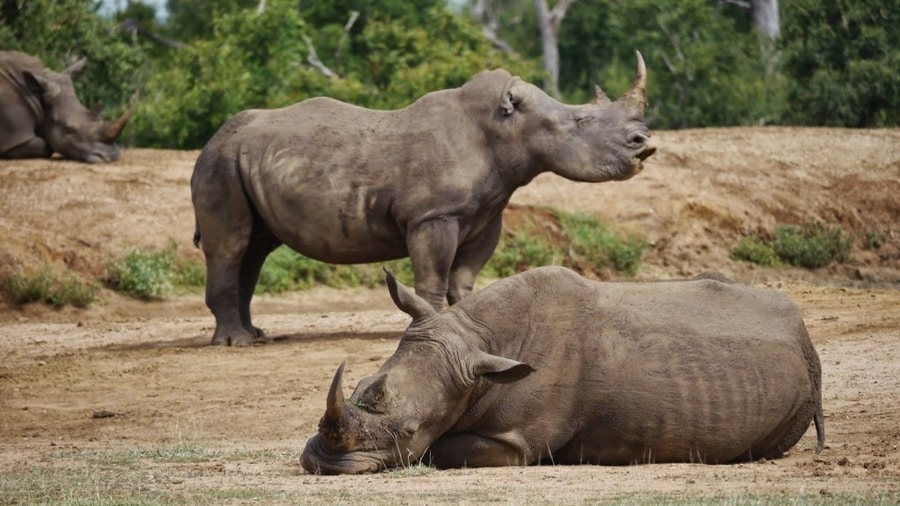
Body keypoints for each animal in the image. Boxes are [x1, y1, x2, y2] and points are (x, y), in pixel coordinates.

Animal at [192, 53, 652, 346]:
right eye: (581, 120)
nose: (643, 143)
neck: (506, 129)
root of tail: (215, 137)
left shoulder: (487, 213)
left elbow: (463, 278)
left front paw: (480, 321)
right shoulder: (433, 215)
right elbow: (433, 278)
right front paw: (432, 325)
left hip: (242, 160)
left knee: (255, 248)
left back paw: (255, 335)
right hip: (220, 162)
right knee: (232, 245)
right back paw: (236, 343)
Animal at [300, 264, 824, 474]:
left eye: (409, 430)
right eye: (360, 384)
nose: (320, 462)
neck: (478, 342)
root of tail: (804, 330)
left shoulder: (516, 443)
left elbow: (438, 449)